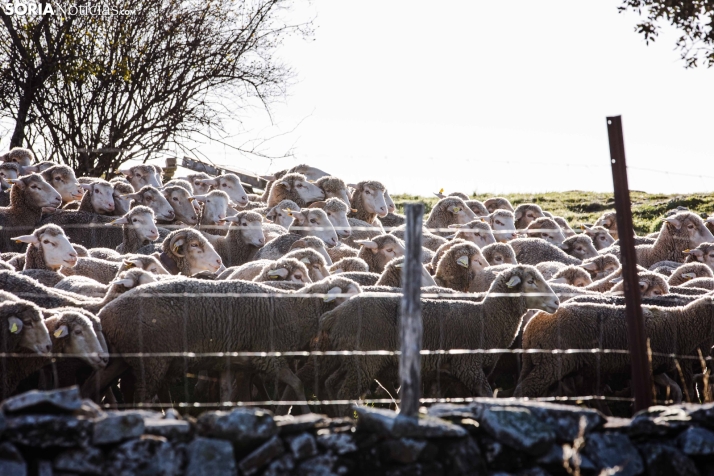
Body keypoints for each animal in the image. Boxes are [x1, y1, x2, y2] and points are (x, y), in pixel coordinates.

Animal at [90, 276, 362, 406]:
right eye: (348, 297)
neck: (291, 309)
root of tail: (106, 314)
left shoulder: (236, 364)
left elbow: (232, 397)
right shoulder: (267, 357)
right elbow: (295, 384)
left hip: (123, 356)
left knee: (97, 382)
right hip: (152, 361)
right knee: (142, 396)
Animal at [316, 264, 556, 412]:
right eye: (531, 281)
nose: (555, 302)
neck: (486, 318)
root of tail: (334, 314)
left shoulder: (454, 373)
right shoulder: (467, 366)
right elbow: (486, 395)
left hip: (350, 359)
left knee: (331, 384)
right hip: (365, 361)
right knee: (344, 393)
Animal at [512, 294, 712, 398]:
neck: (681, 323)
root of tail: (530, 326)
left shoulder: (657, 368)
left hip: (536, 362)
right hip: (552, 362)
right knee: (526, 388)